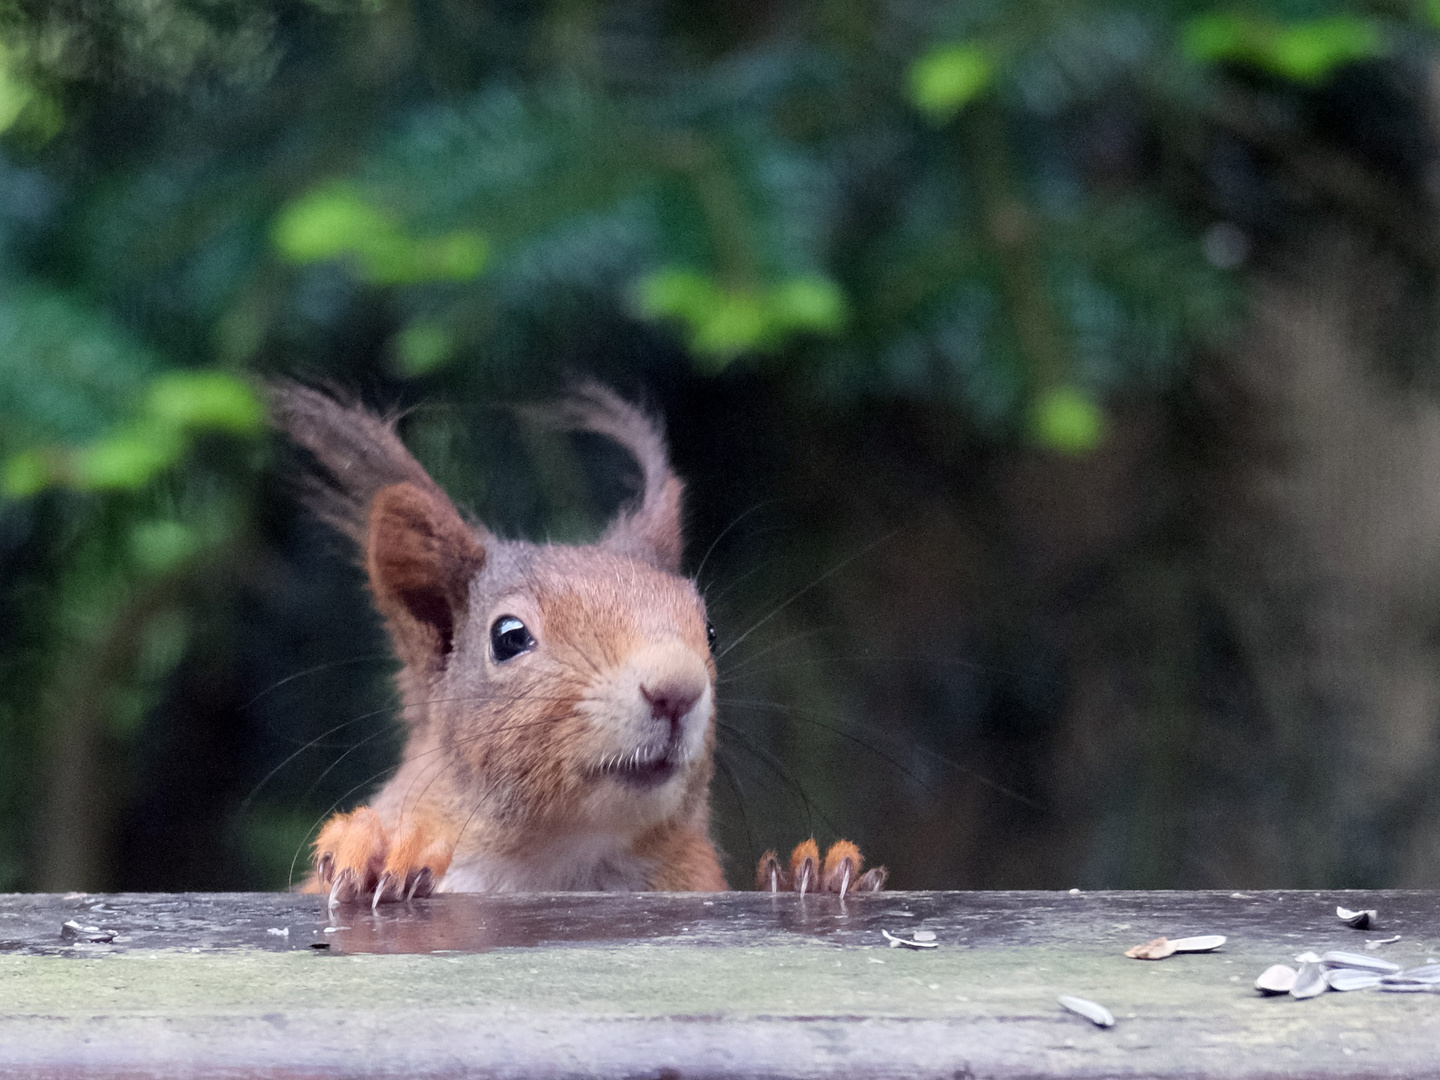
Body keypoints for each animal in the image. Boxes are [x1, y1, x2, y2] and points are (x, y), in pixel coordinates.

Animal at [264, 385, 881, 910]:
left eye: (709, 631)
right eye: (509, 637)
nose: (677, 690)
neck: (559, 860)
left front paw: (820, 874)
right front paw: (374, 850)